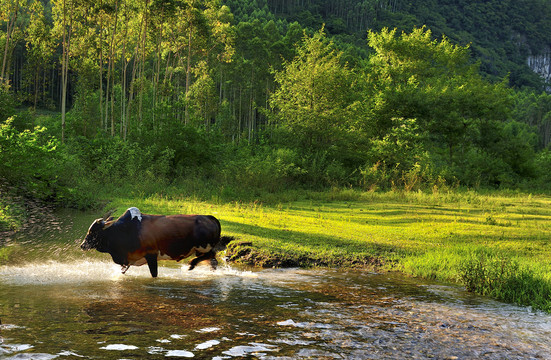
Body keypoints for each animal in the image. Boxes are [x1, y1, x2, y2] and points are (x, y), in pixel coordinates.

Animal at [80, 207, 233, 278]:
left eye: (92, 232)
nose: (82, 245)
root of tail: (210, 217)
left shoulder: (151, 255)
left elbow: (154, 274)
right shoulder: (129, 260)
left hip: (203, 247)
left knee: (210, 256)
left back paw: (191, 264)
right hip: (201, 249)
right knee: (213, 261)